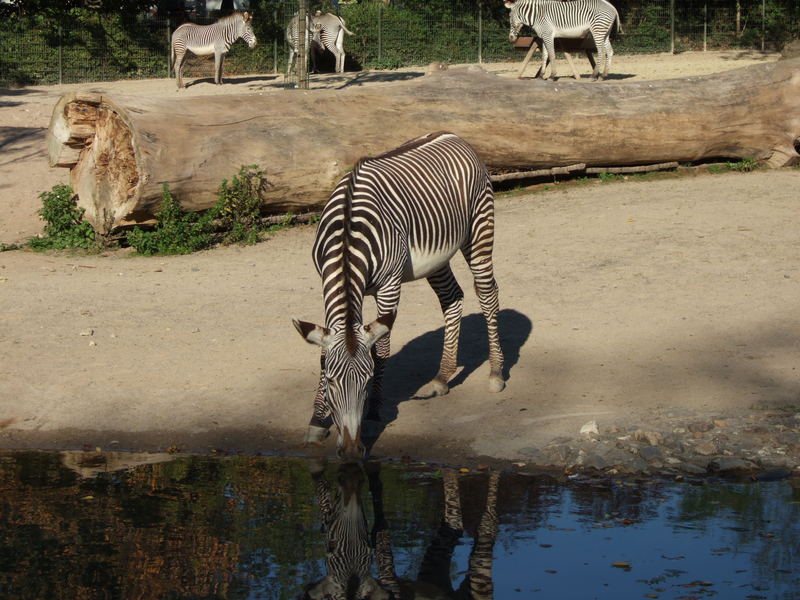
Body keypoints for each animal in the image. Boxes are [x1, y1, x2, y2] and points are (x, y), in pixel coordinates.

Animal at [294, 130, 506, 460]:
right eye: (330, 382)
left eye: (368, 381)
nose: (352, 451)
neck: (347, 238)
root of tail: (453, 135)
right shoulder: (325, 282)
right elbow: (323, 350)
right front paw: (316, 421)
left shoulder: (389, 284)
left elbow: (382, 348)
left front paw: (373, 413)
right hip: (436, 258)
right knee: (452, 298)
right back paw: (441, 377)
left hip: (479, 230)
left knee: (487, 294)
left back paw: (496, 372)